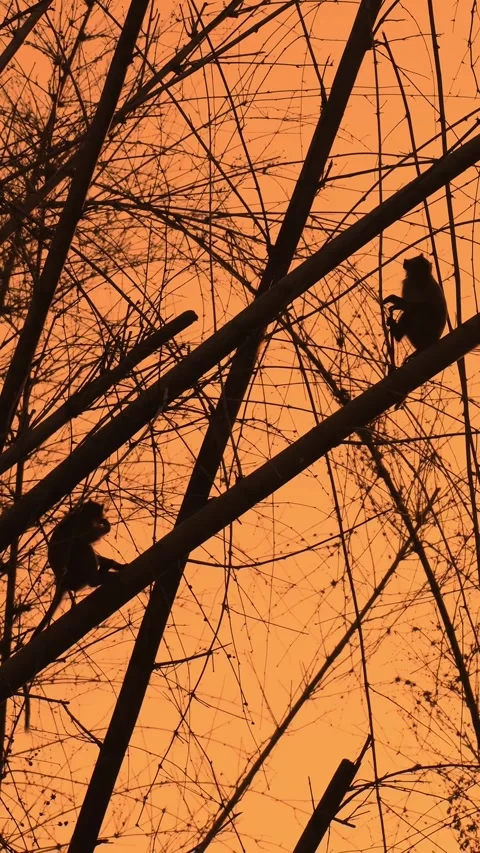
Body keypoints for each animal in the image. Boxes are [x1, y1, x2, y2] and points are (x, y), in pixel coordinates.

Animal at [24, 501, 123, 729]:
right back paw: (97, 578)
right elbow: (85, 538)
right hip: (77, 573)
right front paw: (105, 527)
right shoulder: (81, 523)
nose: (102, 514)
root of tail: (64, 581)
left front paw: (115, 563)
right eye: (97, 510)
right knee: (81, 546)